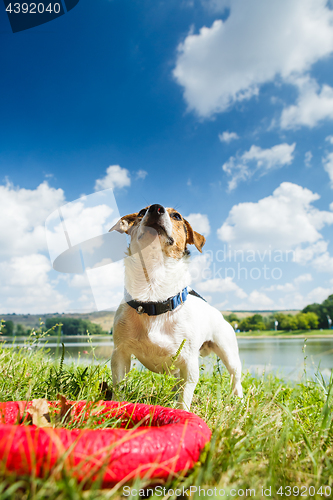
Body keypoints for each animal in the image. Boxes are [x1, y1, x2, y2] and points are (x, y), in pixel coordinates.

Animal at [109, 204, 241, 410]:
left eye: (177, 216)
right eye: (142, 212)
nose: (156, 208)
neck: (154, 296)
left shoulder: (189, 363)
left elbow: (184, 399)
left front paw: (183, 413)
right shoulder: (120, 353)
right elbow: (119, 386)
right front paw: (116, 406)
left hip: (228, 351)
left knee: (236, 377)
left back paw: (239, 401)